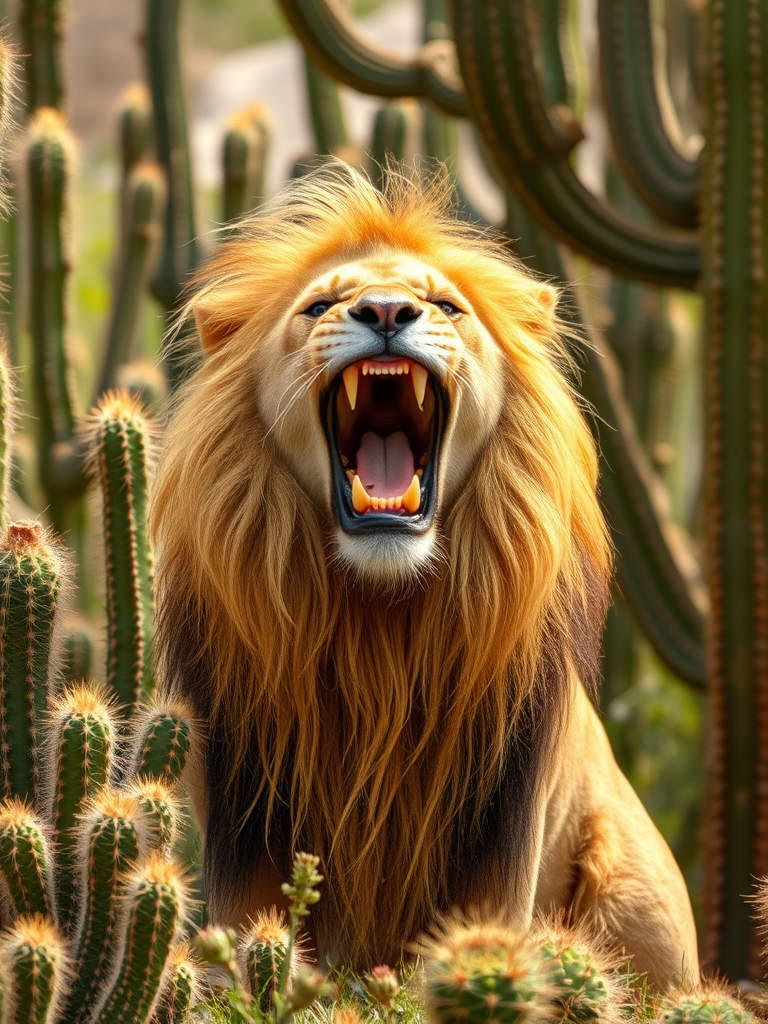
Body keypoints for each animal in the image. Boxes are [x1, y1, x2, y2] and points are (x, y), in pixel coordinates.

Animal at [148, 163, 696, 987]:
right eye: (319, 305)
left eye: (446, 306)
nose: (385, 310)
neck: (378, 619)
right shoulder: (247, 815)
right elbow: (251, 942)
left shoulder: (499, 824)